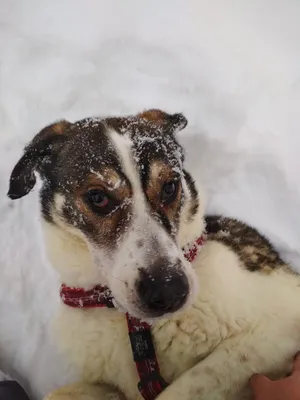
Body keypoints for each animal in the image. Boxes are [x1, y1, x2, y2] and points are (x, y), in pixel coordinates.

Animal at [7, 108, 300, 398]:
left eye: (170, 187)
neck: (131, 320)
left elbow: (189, 384)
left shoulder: (278, 325)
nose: (169, 291)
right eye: (98, 197)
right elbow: (60, 393)